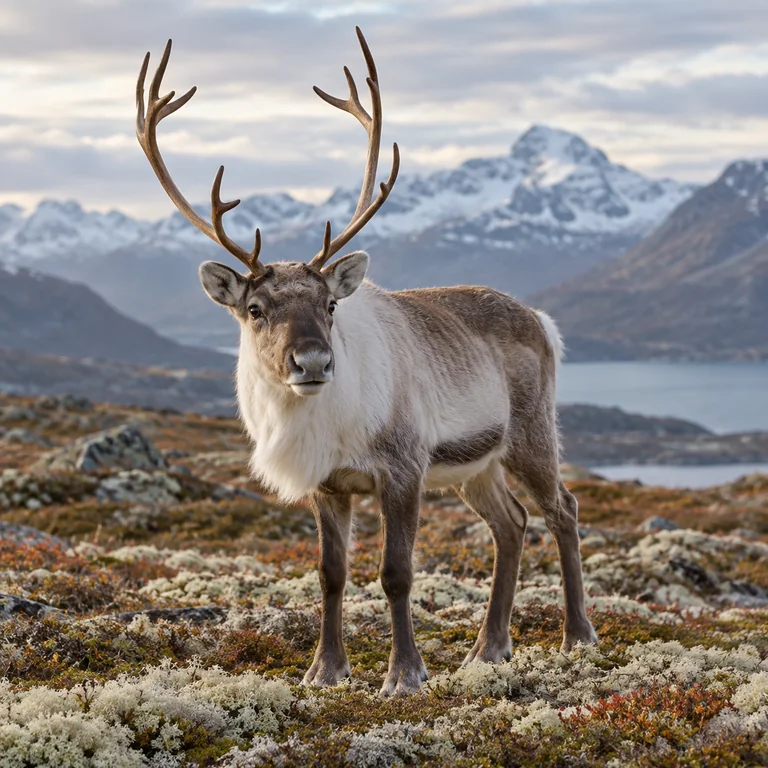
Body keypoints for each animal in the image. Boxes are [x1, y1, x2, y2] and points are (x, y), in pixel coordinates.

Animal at [135, 28, 598, 697]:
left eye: (330, 303)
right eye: (255, 308)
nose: (312, 362)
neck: (325, 424)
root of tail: (542, 320)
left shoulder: (402, 470)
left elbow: (395, 572)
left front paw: (404, 674)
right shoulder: (328, 486)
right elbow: (331, 574)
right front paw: (325, 670)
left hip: (531, 435)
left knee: (562, 510)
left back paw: (576, 635)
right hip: (475, 464)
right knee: (510, 523)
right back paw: (487, 649)